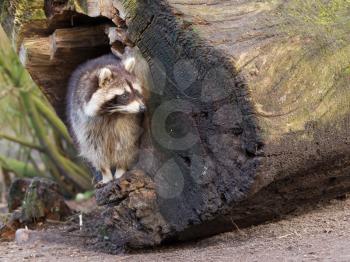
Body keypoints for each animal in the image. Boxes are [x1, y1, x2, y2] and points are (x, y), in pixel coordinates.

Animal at [66, 52, 146, 184]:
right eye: (124, 95)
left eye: (137, 92)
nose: (142, 108)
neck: (112, 114)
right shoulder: (83, 121)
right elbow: (94, 148)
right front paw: (106, 173)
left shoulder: (130, 122)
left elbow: (126, 142)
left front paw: (121, 168)